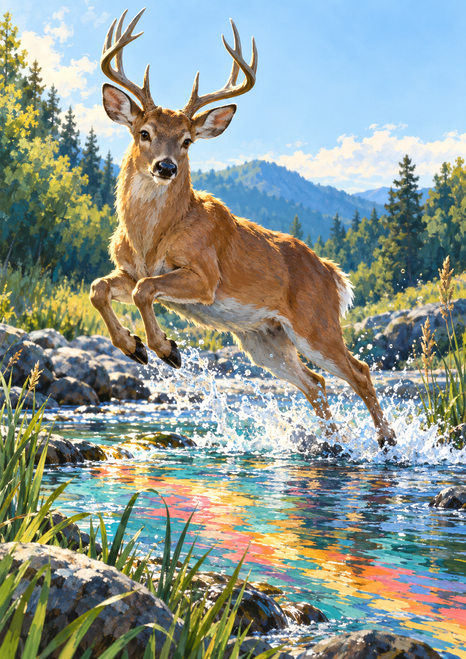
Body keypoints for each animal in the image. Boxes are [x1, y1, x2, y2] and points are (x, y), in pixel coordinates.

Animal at [90, 8, 397, 449]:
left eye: (187, 140)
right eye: (143, 133)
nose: (166, 167)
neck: (151, 239)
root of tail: (333, 275)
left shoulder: (205, 275)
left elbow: (144, 289)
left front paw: (165, 349)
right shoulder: (129, 269)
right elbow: (100, 288)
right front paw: (134, 347)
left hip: (314, 324)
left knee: (358, 371)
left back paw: (387, 442)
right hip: (263, 338)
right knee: (315, 383)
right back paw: (330, 444)